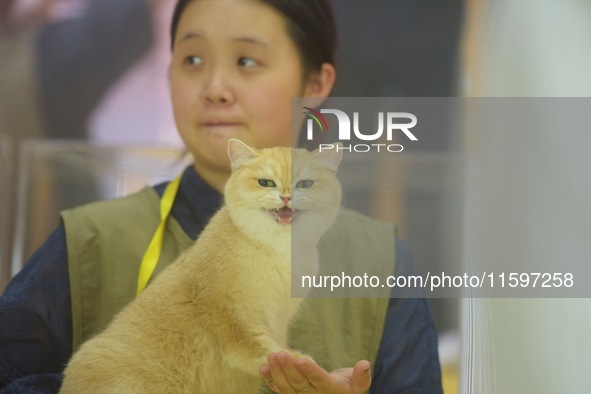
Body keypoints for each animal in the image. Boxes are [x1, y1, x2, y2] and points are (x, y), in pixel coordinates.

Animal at [59, 139, 342, 394]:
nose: (286, 196)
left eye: (305, 184)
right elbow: (260, 348)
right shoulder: (234, 318)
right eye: (266, 183)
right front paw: (295, 359)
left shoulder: (279, 320)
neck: (278, 249)